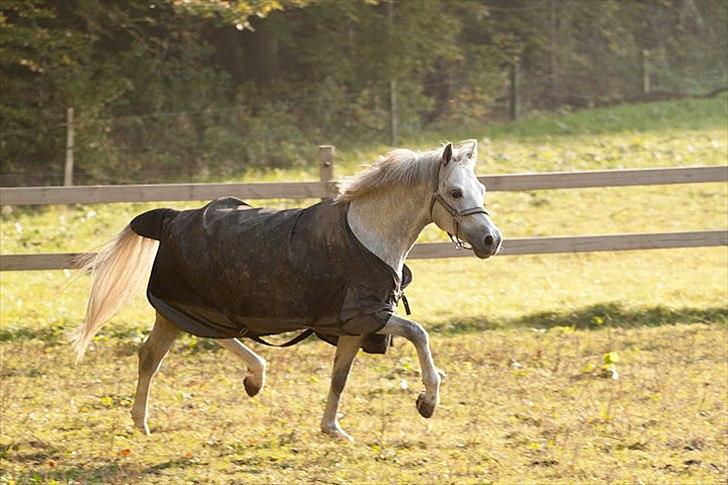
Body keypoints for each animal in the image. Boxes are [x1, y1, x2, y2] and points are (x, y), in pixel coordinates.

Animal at [70, 140, 502, 441]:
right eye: (456, 192)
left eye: (480, 188)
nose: (491, 240)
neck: (368, 236)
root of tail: (172, 218)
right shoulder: (370, 315)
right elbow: (419, 333)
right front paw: (428, 401)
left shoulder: (352, 325)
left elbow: (339, 377)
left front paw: (332, 429)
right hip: (178, 309)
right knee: (150, 357)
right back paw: (141, 423)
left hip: (203, 310)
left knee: (214, 339)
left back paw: (254, 378)